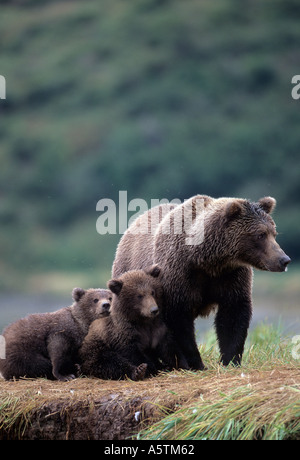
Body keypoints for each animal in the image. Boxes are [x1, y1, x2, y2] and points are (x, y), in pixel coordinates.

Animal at [113, 195, 290, 370]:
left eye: (274, 233)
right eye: (260, 234)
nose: (284, 260)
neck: (207, 260)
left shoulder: (231, 276)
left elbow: (233, 315)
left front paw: (230, 360)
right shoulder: (177, 276)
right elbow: (178, 321)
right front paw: (195, 363)